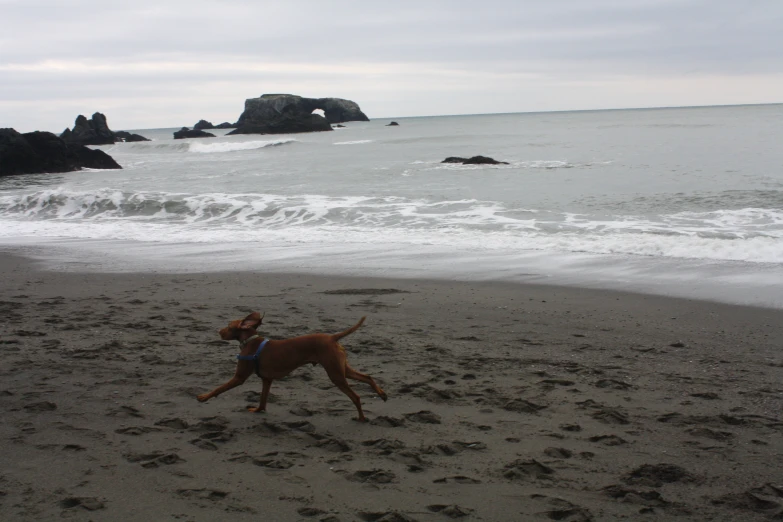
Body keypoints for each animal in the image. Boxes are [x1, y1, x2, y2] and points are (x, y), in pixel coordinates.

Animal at [198, 310, 388, 420]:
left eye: (228, 325)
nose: (218, 331)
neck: (251, 341)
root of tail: (331, 337)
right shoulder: (267, 379)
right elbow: (263, 399)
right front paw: (258, 410)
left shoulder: (239, 377)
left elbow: (219, 388)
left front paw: (204, 397)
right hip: (342, 369)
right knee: (367, 377)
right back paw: (382, 394)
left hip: (335, 374)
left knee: (356, 396)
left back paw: (361, 417)